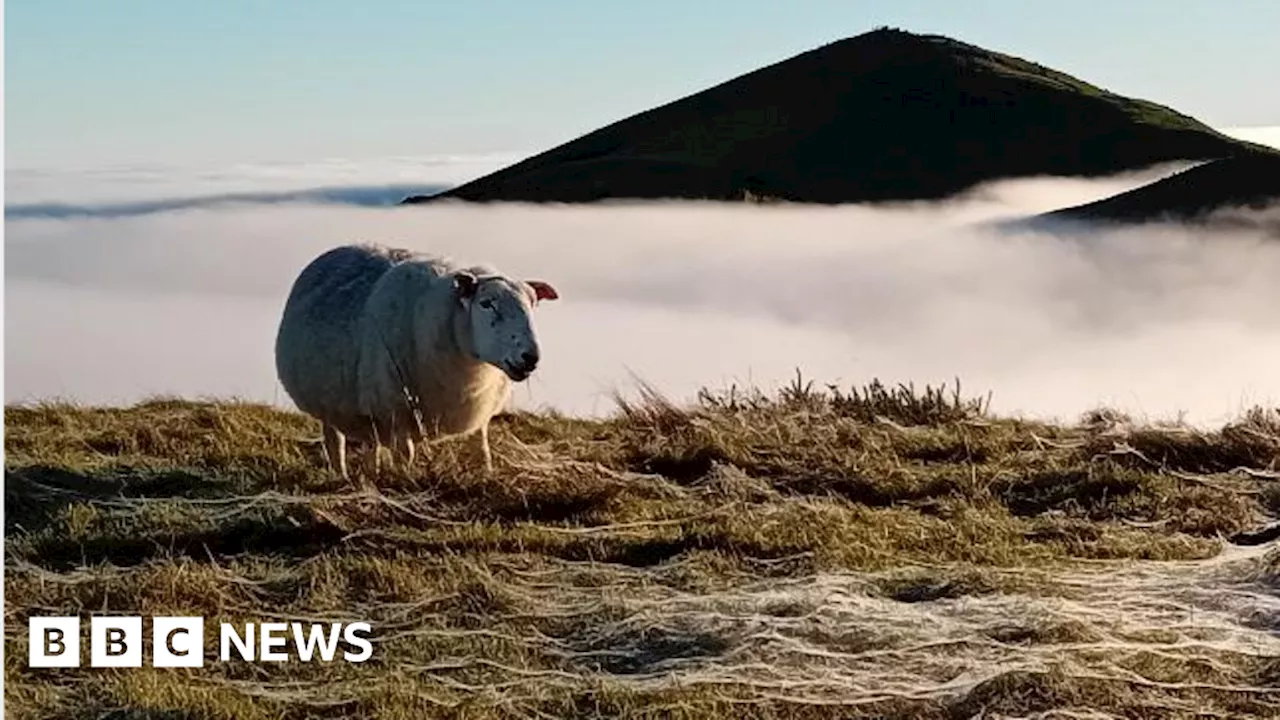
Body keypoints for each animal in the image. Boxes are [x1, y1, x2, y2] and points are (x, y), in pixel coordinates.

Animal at [272, 243, 558, 479]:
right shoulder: (397, 411)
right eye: (487, 303)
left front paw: (485, 474)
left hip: (366, 410)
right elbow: (406, 455)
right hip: (331, 404)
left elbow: (481, 449)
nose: (530, 357)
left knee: (370, 443)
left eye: (533, 304)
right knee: (335, 442)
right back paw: (340, 474)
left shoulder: (479, 410)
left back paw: (370, 474)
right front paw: (406, 480)